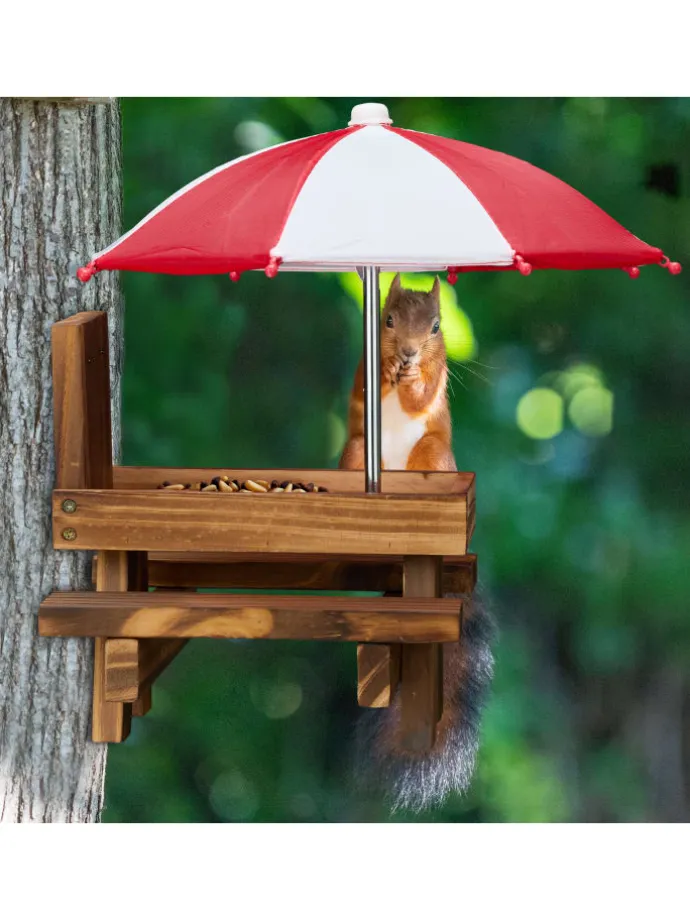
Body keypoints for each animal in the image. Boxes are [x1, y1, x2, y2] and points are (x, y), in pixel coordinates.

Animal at [340, 273, 496, 812]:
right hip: (355, 453)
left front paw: (408, 383)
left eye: (435, 327)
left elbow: (423, 395)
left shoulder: (438, 378)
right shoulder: (360, 373)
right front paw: (388, 372)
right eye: (386, 320)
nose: (406, 353)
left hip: (434, 455)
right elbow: (364, 388)